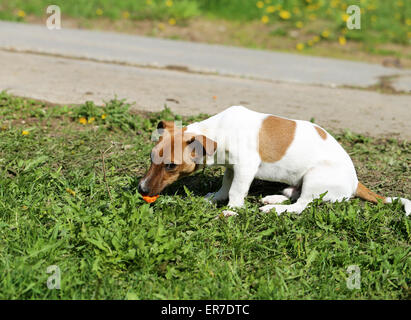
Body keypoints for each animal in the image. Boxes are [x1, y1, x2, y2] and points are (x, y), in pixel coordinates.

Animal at [139, 106, 411, 216]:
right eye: (151, 158)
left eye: (171, 166)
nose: (141, 189)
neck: (217, 129)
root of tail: (355, 184)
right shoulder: (231, 167)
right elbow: (225, 187)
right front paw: (214, 198)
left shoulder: (245, 168)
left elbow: (236, 192)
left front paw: (230, 211)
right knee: (296, 195)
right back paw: (275, 198)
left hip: (315, 177)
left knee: (302, 205)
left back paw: (274, 209)